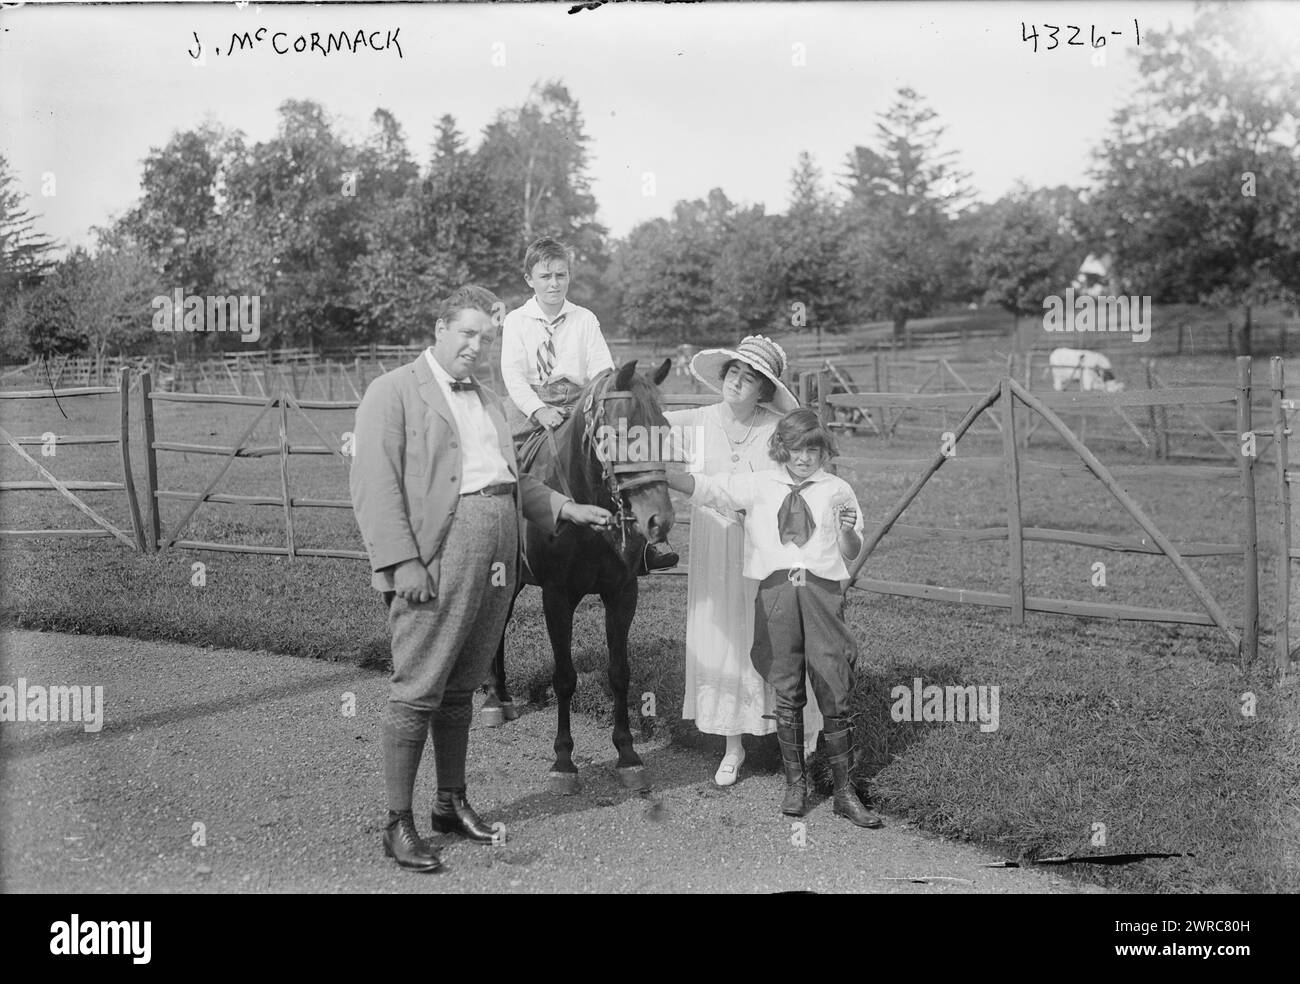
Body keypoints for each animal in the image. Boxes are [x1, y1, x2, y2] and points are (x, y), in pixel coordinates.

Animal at [483, 358, 676, 790]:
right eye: (620, 433)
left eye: (665, 429)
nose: (659, 520)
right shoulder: (556, 597)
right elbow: (564, 678)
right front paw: (563, 761)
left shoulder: (622, 593)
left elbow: (619, 672)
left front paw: (627, 754)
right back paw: (491, 699)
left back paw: (502, 694)